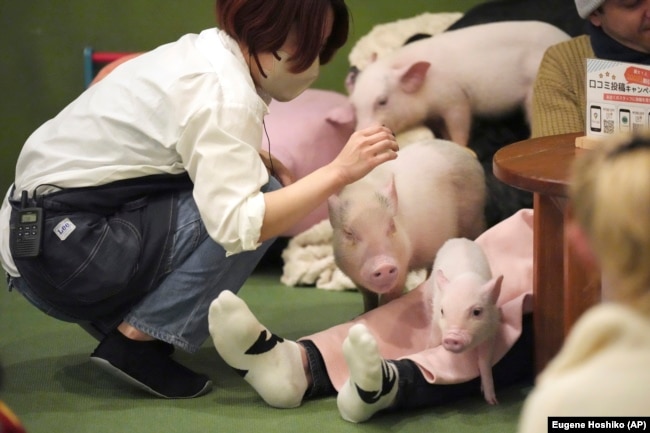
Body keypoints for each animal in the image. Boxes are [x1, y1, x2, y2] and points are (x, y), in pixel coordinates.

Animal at [326, 138, 484, 310]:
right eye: (349, 233)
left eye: (391, 226)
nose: (383, 265)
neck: (363, 195)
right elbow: (368, 297)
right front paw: (364, 312)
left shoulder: (402, 265)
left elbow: (389, 298)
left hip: (473, 219)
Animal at [344, 20, 568, 147]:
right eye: (354, 105)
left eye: (382, 101)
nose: (359, 132)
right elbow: (443, 128)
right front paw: (445, 138)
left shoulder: (455, 98)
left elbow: (460, 122)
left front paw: (460, 146)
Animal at [430, 235, 502, 404]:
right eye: (443, 311)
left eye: (477, 312)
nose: (451, 338)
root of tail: (458, 238)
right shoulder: (435, 320)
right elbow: (433, 340)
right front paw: (428, 349)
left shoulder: (491, 332)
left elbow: (484, 362)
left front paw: (492, 402)